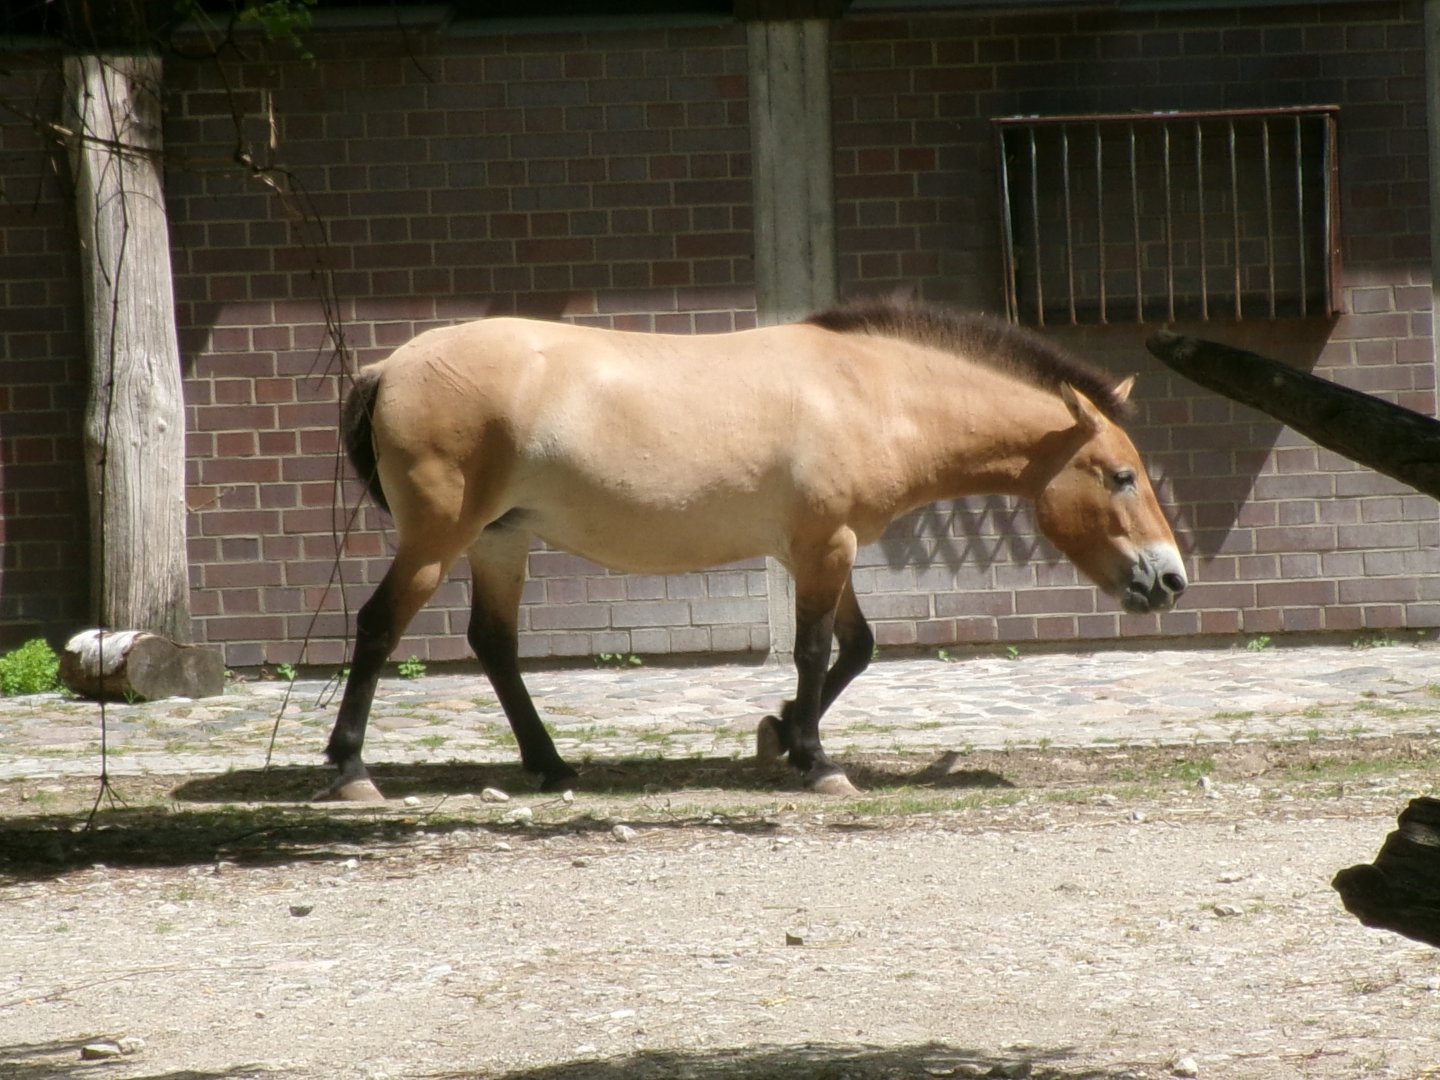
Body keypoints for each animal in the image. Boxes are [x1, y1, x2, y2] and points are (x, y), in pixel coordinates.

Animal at [320, 299, 1186, 801]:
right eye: (1120, 476)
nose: (1170, 580)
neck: (873, 395)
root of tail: (389, 366)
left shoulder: (827, 548)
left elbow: (855, 648)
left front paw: (779, 734)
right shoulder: (824, 546)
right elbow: (813, 649)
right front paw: (817, 760)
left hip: (500, 541)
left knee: (494, 644)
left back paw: (550, 764)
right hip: (437, 539)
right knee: (377, 628)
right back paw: (353, 771)